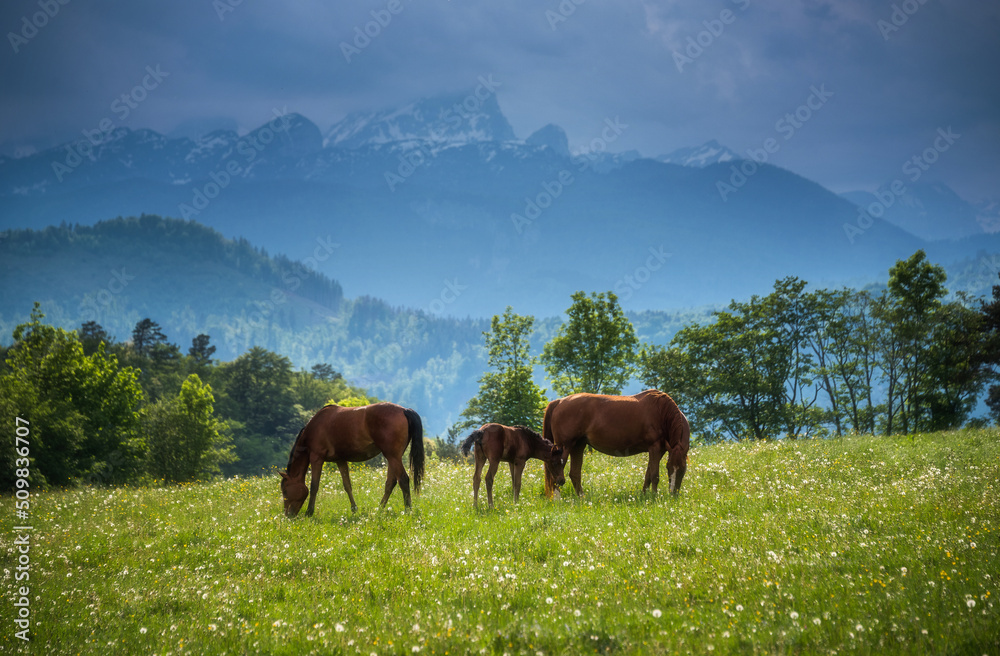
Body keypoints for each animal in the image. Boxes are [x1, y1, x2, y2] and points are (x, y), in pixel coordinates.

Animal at [279, 402, 425, 517]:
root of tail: (404, 410)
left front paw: (309, 512)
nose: (288, 515)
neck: (314, 427)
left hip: (393, 456)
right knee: (391, 483)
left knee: (403, 480)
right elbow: (347, 485)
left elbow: (314, 486)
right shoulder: (340, 460)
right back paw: (379, 509)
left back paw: (407, 510)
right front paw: (354, 509)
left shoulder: (316, 458)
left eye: (285, 490)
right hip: (393, 457)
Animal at [542, 389, 689, 497]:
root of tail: (559, 402)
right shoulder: (655, 448)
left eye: (683, 469)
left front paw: (644, 495)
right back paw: (558, 499)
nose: (673, 494)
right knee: (555, 473)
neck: (661, 412)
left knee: (574, 474)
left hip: (578, 446)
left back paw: (582, 498)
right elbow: (654, 475)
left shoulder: (660, 451)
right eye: (669, 468)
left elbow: (648, 474)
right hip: (565, 447)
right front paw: (654, 497)